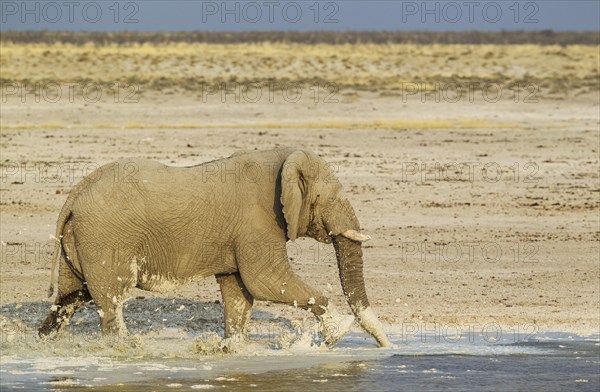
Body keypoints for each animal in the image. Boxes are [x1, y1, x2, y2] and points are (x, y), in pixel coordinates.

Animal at [39, 146, 392, 346]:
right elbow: (266, 281)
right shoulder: (257, 222)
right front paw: (339, 332)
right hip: (105, 239)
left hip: (81, 241)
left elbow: (239, 292)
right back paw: (125, 348)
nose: (386, 348)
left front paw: (234, 348)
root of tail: (75, 194)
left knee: (72, 297)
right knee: (111, 299)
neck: (282, 162)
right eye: (330, 199)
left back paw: (44, 340)